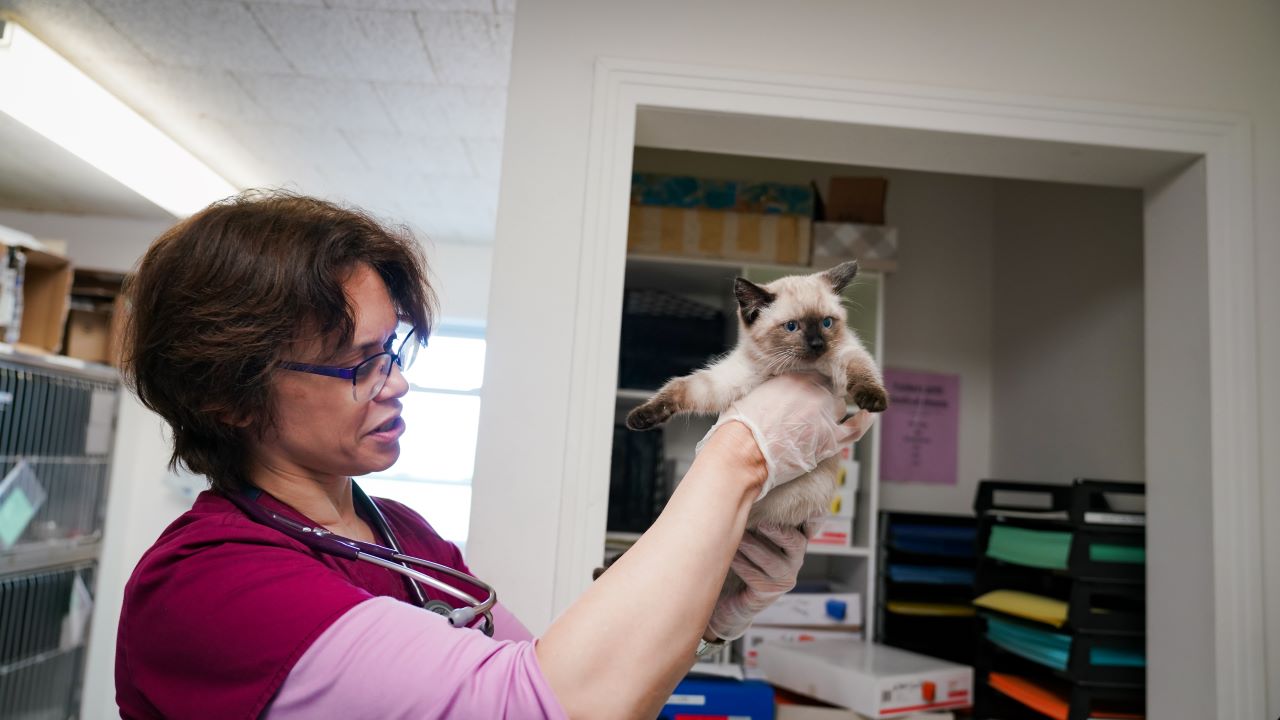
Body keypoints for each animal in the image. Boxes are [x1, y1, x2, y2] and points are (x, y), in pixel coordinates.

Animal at [622, 260, 885, 530]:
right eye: (792, 326)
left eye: (827, 323)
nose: (817, 344)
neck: (788, 369)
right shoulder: (729, 381)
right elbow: (680, 387)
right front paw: (640, 417)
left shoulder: (845, 357)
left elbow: (864, 374)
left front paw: (874, 400)